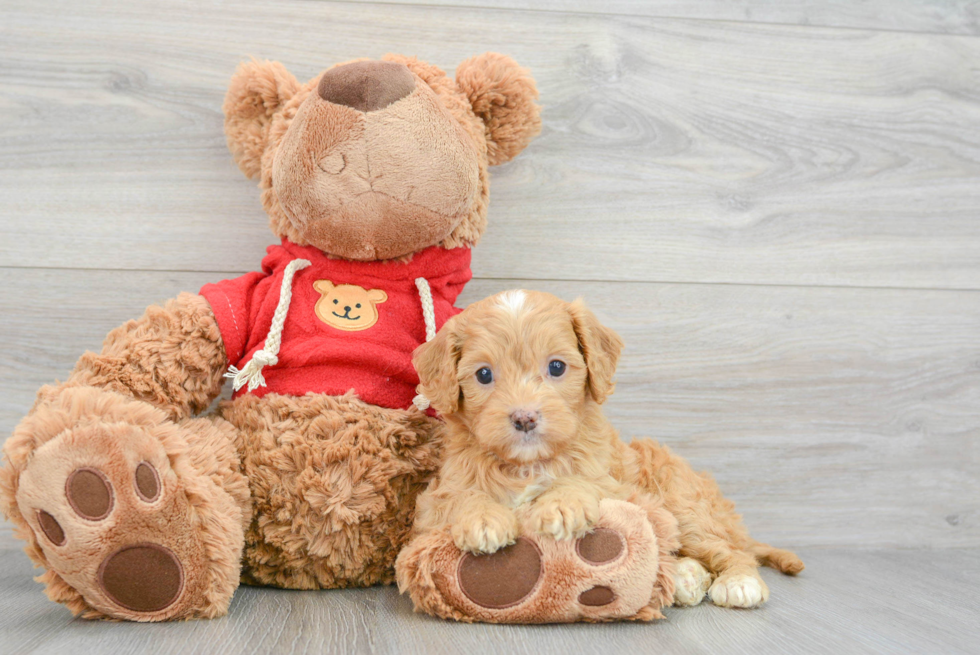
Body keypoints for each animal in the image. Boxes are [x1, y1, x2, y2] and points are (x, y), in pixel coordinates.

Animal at [414, 290, 804, 608]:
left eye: (556, 366)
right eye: (483, 374)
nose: (525, 418)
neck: (530, 464)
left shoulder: (615, 485)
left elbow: (585, 482)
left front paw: (563, 503)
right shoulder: (434, 501)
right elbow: (461, 496)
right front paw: (482, 518)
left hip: (686, 505)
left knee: (728, 550)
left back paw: (739, 582)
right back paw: (684, 579)